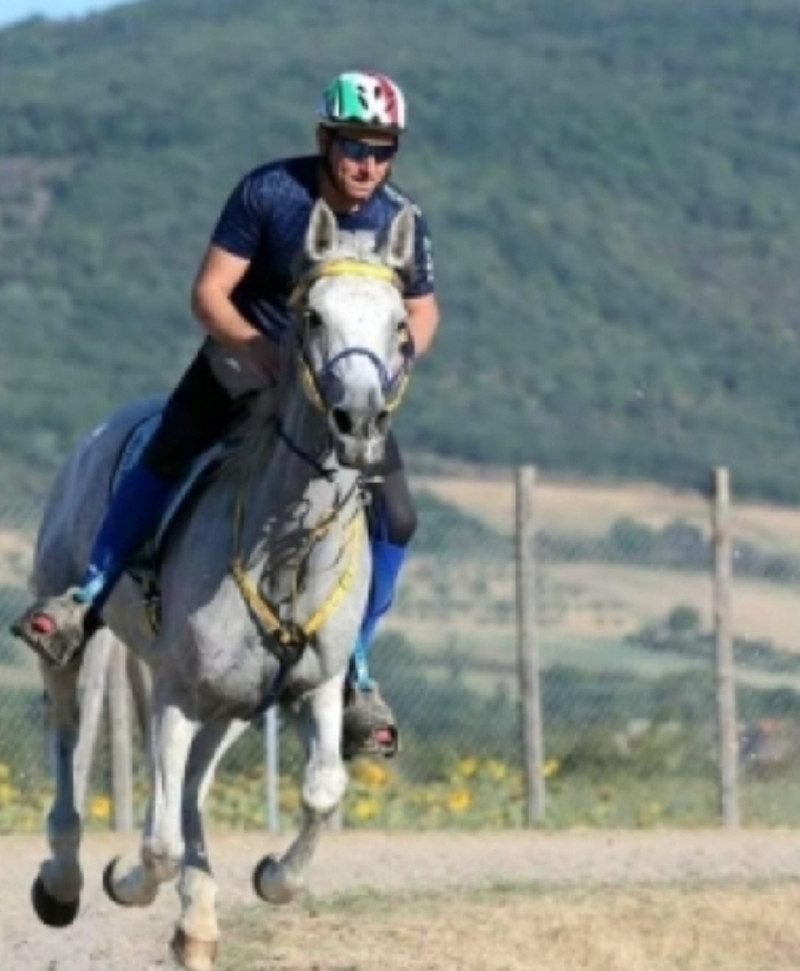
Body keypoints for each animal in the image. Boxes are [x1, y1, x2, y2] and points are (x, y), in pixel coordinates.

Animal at [26, 199, 412, 971]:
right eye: (313, 316)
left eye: (399, 325)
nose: (359, 423)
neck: (286, 551)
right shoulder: (175, 689)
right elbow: (158, 841)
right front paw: (128, 879)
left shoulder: (314, 687)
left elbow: (322, 790)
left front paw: (273, 877)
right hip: (79, 639)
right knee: (70, 739)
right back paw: (64, 880)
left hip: (233, 704)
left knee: (193, 785)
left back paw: (198, 921)